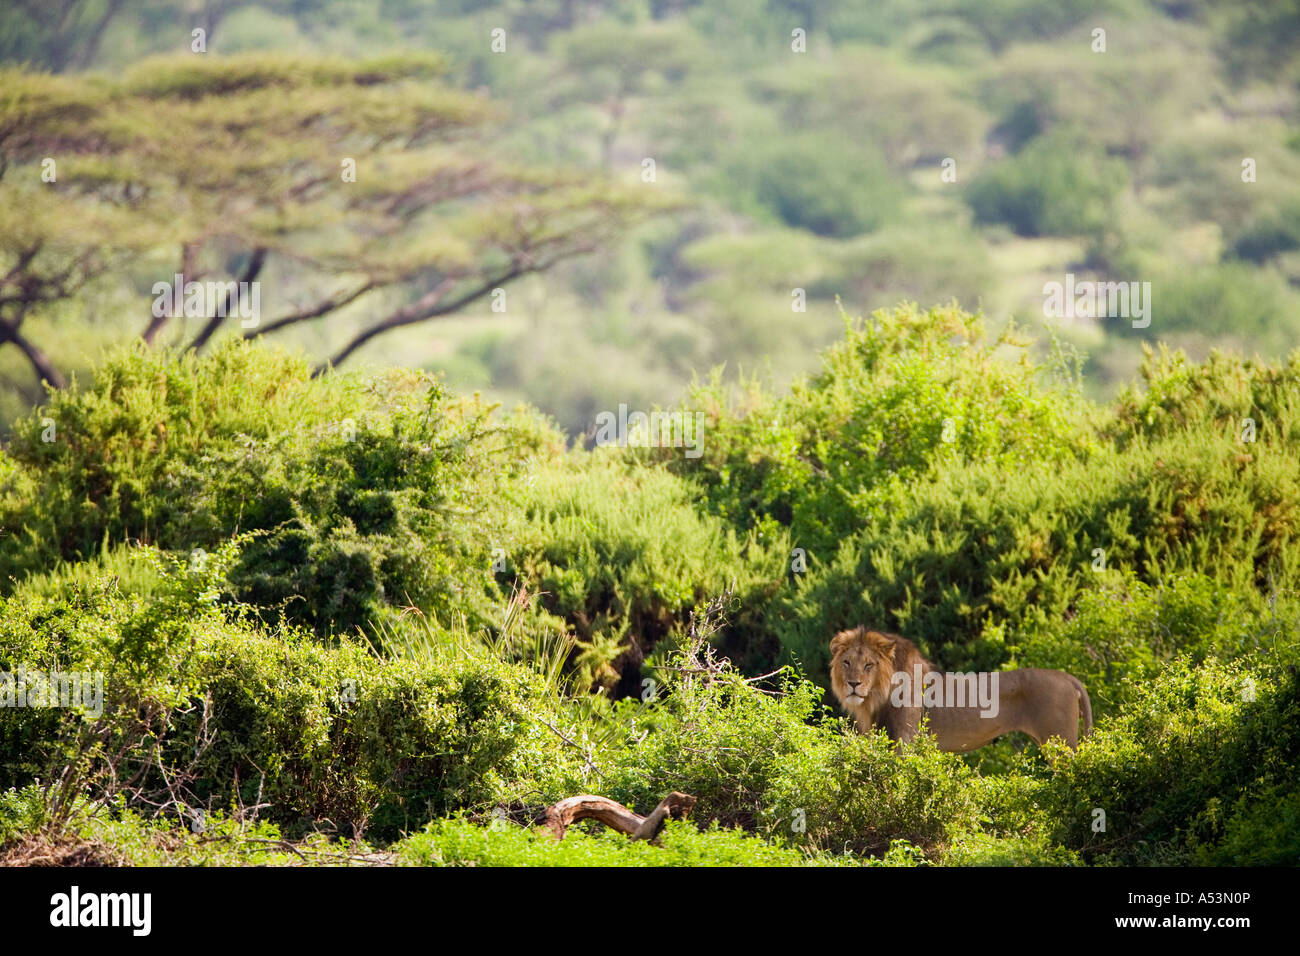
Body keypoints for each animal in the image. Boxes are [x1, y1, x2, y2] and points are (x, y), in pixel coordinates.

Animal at [829, 627, 1092, 752]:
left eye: (869, 665)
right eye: (847, 663)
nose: (853, 684)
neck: (875, 698)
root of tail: (1069, 678)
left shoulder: (905, 739)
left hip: (1060, 741)